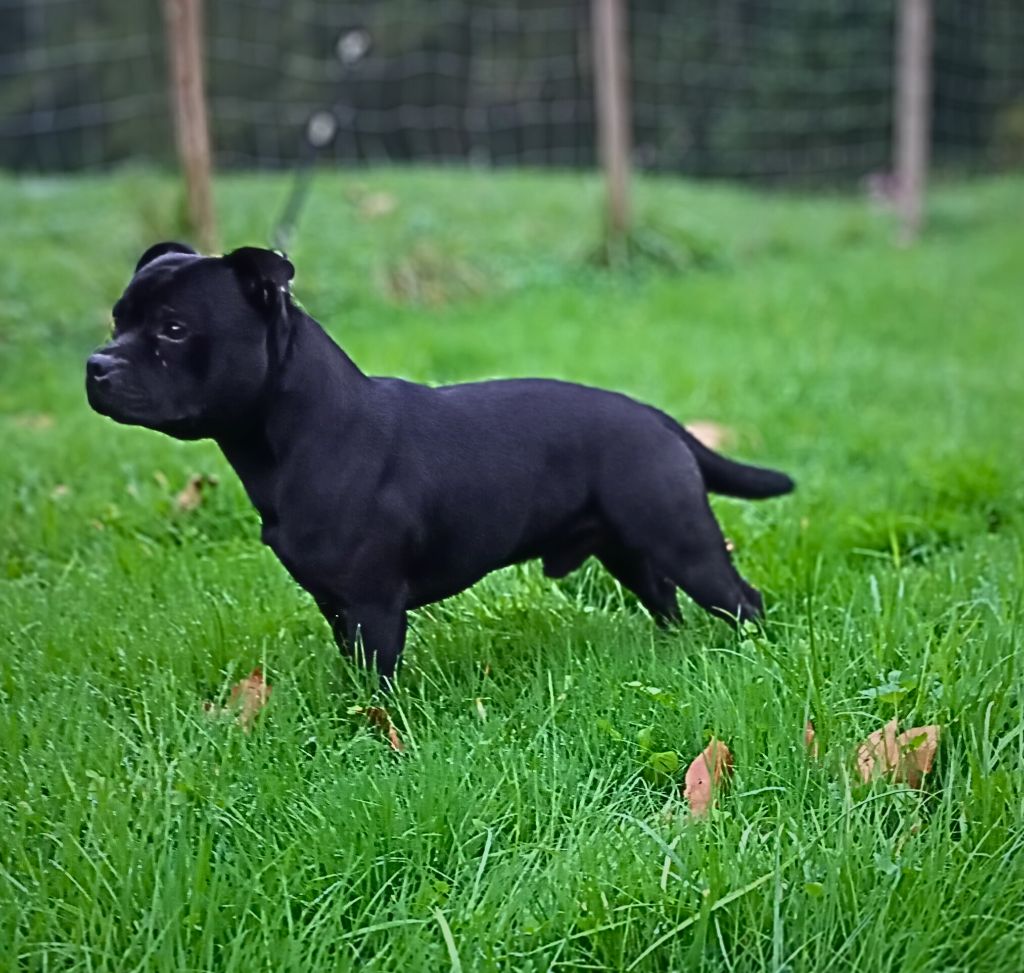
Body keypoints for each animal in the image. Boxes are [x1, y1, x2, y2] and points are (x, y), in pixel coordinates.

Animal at [86, 243, 790, 684]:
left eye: (174, 329)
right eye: (117, 320)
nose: (97, 365)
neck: (299, 429)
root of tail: (657, 418)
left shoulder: (373, 607)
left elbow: (376, 684)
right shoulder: (337, 605)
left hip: (683, 538)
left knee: (740, 599)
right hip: (629, 546)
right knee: (663, 599)